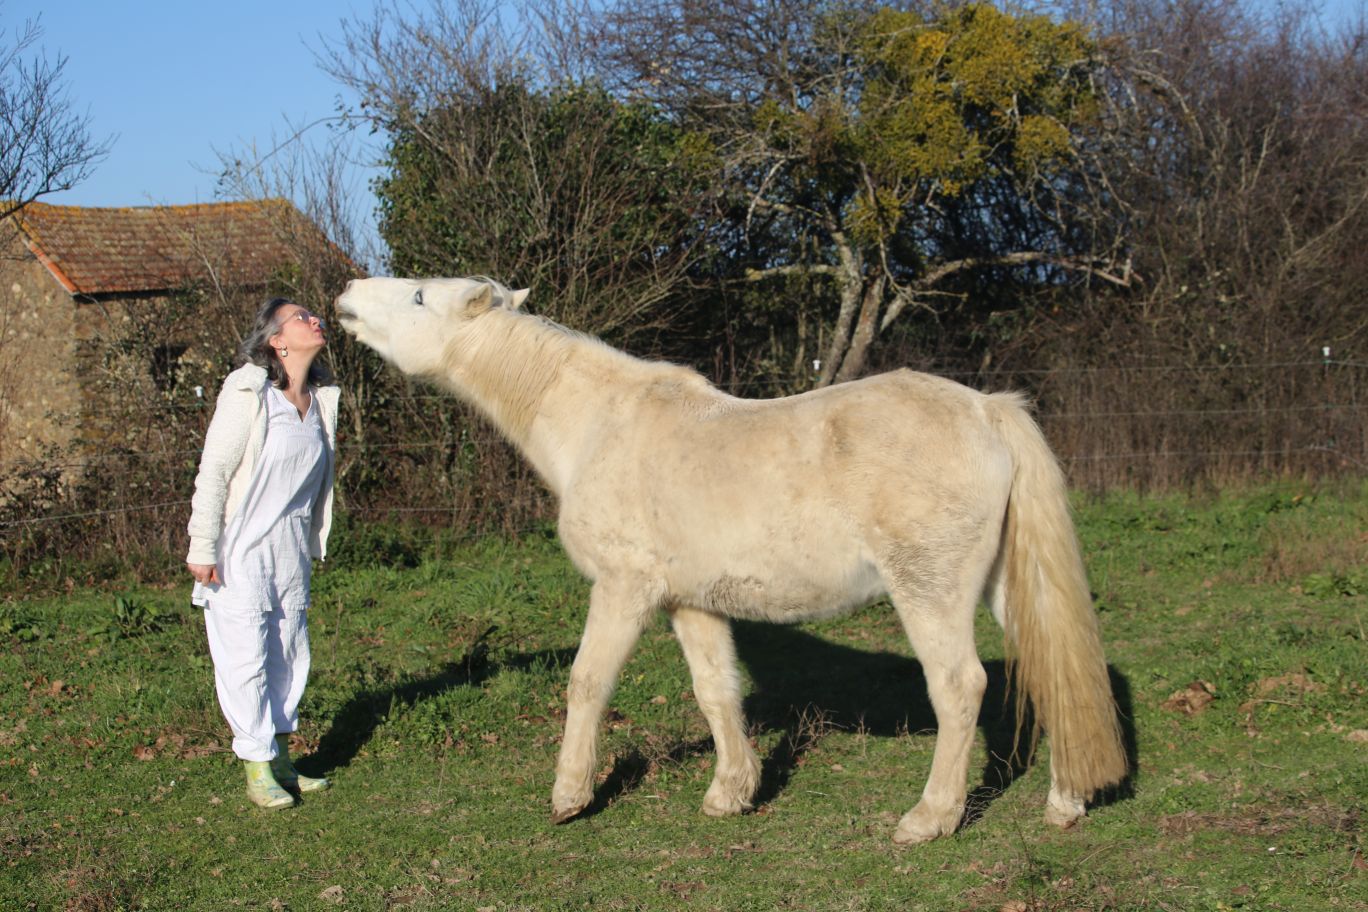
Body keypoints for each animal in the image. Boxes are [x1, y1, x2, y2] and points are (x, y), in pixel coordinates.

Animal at [335, 275, 1127, 844]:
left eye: (418, 295)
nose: (344, 292)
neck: (600, 425)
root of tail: (987, 409)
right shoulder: (692, 604)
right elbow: (717, 691)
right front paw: (730, 793)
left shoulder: (623, 589)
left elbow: (587, 683)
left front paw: (570, 796)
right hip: (1000, 588)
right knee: (1051, 671)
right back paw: (1065, 802)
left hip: (929, 592)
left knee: (961, 687)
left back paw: (929, 819)